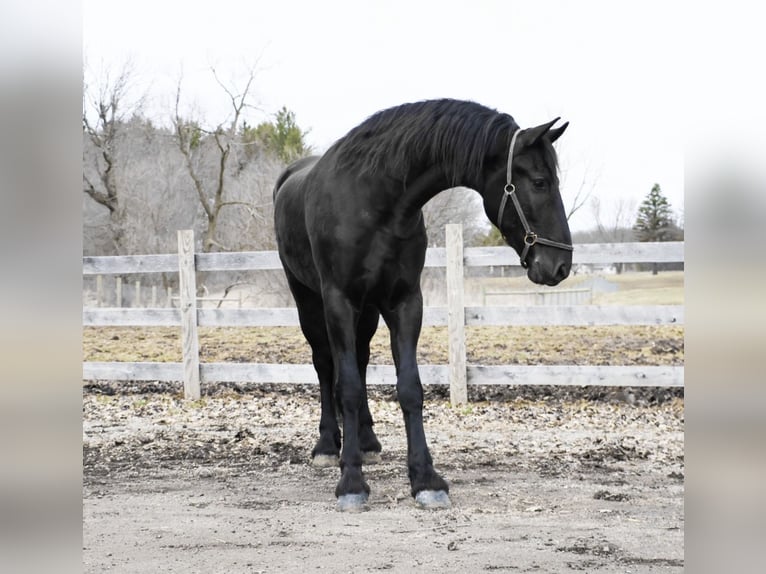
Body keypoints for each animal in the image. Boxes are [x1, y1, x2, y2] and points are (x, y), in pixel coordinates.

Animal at [273, 99, 572, 511]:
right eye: (540, 182)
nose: (561, 265)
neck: (374, 200)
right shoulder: (339, 302)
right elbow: (346, 386)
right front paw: (351, 482)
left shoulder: (405, 302)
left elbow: (409, 387)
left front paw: (426, 479)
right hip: (309, 301)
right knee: (324, 365)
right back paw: (328, 446)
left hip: (368, 311)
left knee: (361, 361)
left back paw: (367, 441)